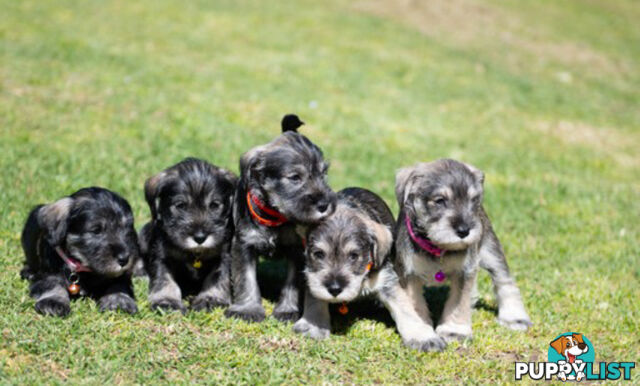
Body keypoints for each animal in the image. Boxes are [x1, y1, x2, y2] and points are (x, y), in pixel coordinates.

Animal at [20, 187, 139, 316]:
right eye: (96, 230)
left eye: (127, 230)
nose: (124, 259)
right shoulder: (47, 273)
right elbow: (52, 284)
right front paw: (54, 301)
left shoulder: (121, 275)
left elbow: (119, 284)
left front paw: (119, 301)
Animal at [140, 158, 238, 312]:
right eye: (181, 205)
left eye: (214, 205)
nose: (200, 238)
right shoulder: (162, 256)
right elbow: (165, 279)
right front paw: (166, 301)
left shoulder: (224, 256)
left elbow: (218, 278)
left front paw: (211, 298)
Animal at [224, 114, 336, 322]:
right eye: (295, 178)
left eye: (323, 174)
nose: (325, 205)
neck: (276, 215)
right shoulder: (244, 244)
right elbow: (246, 279)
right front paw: (247, 310)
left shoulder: (297, 250)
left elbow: (292, 283)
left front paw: (287, 310)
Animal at [294, 188, 448, 352]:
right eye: (318, 254)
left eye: (354, 256)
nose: (334, 289)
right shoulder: (311, 277)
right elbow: (315, 299)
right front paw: (313, 325)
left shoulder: (387, 282)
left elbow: (405, 309)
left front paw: (423, 338)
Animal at [392, 158, 532, 352]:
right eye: (440, 200)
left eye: (473, 200)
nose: (464, 231)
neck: (438, 246)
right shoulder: (408, 274)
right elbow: (414, 306)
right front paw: (422, 334)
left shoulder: (464, 272)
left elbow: (459, 302)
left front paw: (454, 331)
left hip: (491, 251)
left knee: (505, 281)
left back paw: (514, 317)